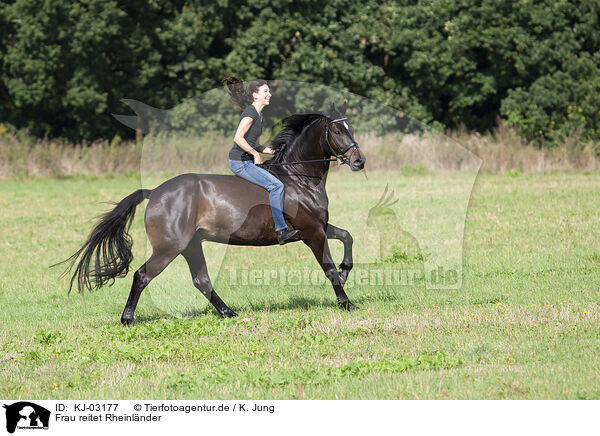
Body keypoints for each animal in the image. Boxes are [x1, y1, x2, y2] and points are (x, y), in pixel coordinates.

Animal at [63, 103, 368, 324]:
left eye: (350, 129)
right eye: (338, 132)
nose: (359, 161)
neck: (298, 177)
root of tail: (156, 192)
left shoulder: (318, 226)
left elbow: (347, 237)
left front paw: (346, 271)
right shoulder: (311, 231)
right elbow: (328, 267)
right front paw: (347, 303)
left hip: (191, 245)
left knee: (201, 281)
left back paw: (228, 313)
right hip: (169, 248)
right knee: (142, 276)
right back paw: (127, 319)